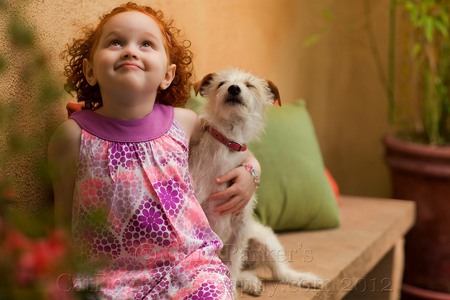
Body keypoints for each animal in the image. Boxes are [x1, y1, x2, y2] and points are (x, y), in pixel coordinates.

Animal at [188, 68, 322, 296]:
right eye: (221, 83)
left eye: (249, 85)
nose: (234, 88)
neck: (227, 145)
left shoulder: (240, 226)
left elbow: (233, 264)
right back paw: (251, 282)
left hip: (265, 240)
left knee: (281, 273)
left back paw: (304, 279)